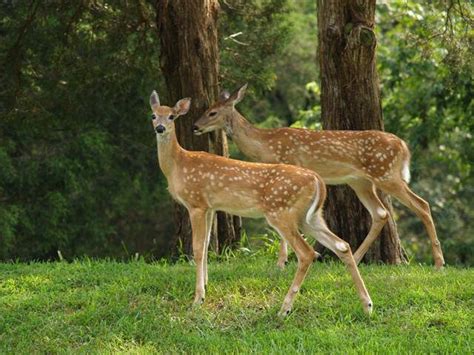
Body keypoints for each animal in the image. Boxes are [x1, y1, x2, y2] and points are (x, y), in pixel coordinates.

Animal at [150, 91, 372, 318]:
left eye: (171, 117)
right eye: (153, 115)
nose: (160, 128)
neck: (178, 165)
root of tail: (317, 180)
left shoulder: (195, 203)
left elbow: (197, 248)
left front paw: (198, 299)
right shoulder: (210, 206)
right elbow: (205, 246)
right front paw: (205, 287)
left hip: (281, 212)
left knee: (307, 253)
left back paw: (284, 309)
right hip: (310, 217)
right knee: (342, 245)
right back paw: (367, 305)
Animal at [193, 85, 444, 272]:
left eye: (213, 112)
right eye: (207, 108)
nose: (195, 126)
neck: (266, 144)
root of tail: (403, 146)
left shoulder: (291, 170)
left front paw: (282, 262)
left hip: (386, 173)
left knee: (422, 204)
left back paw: (439, 263)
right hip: (361, 181)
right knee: (381, 213)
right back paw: (355, 258)